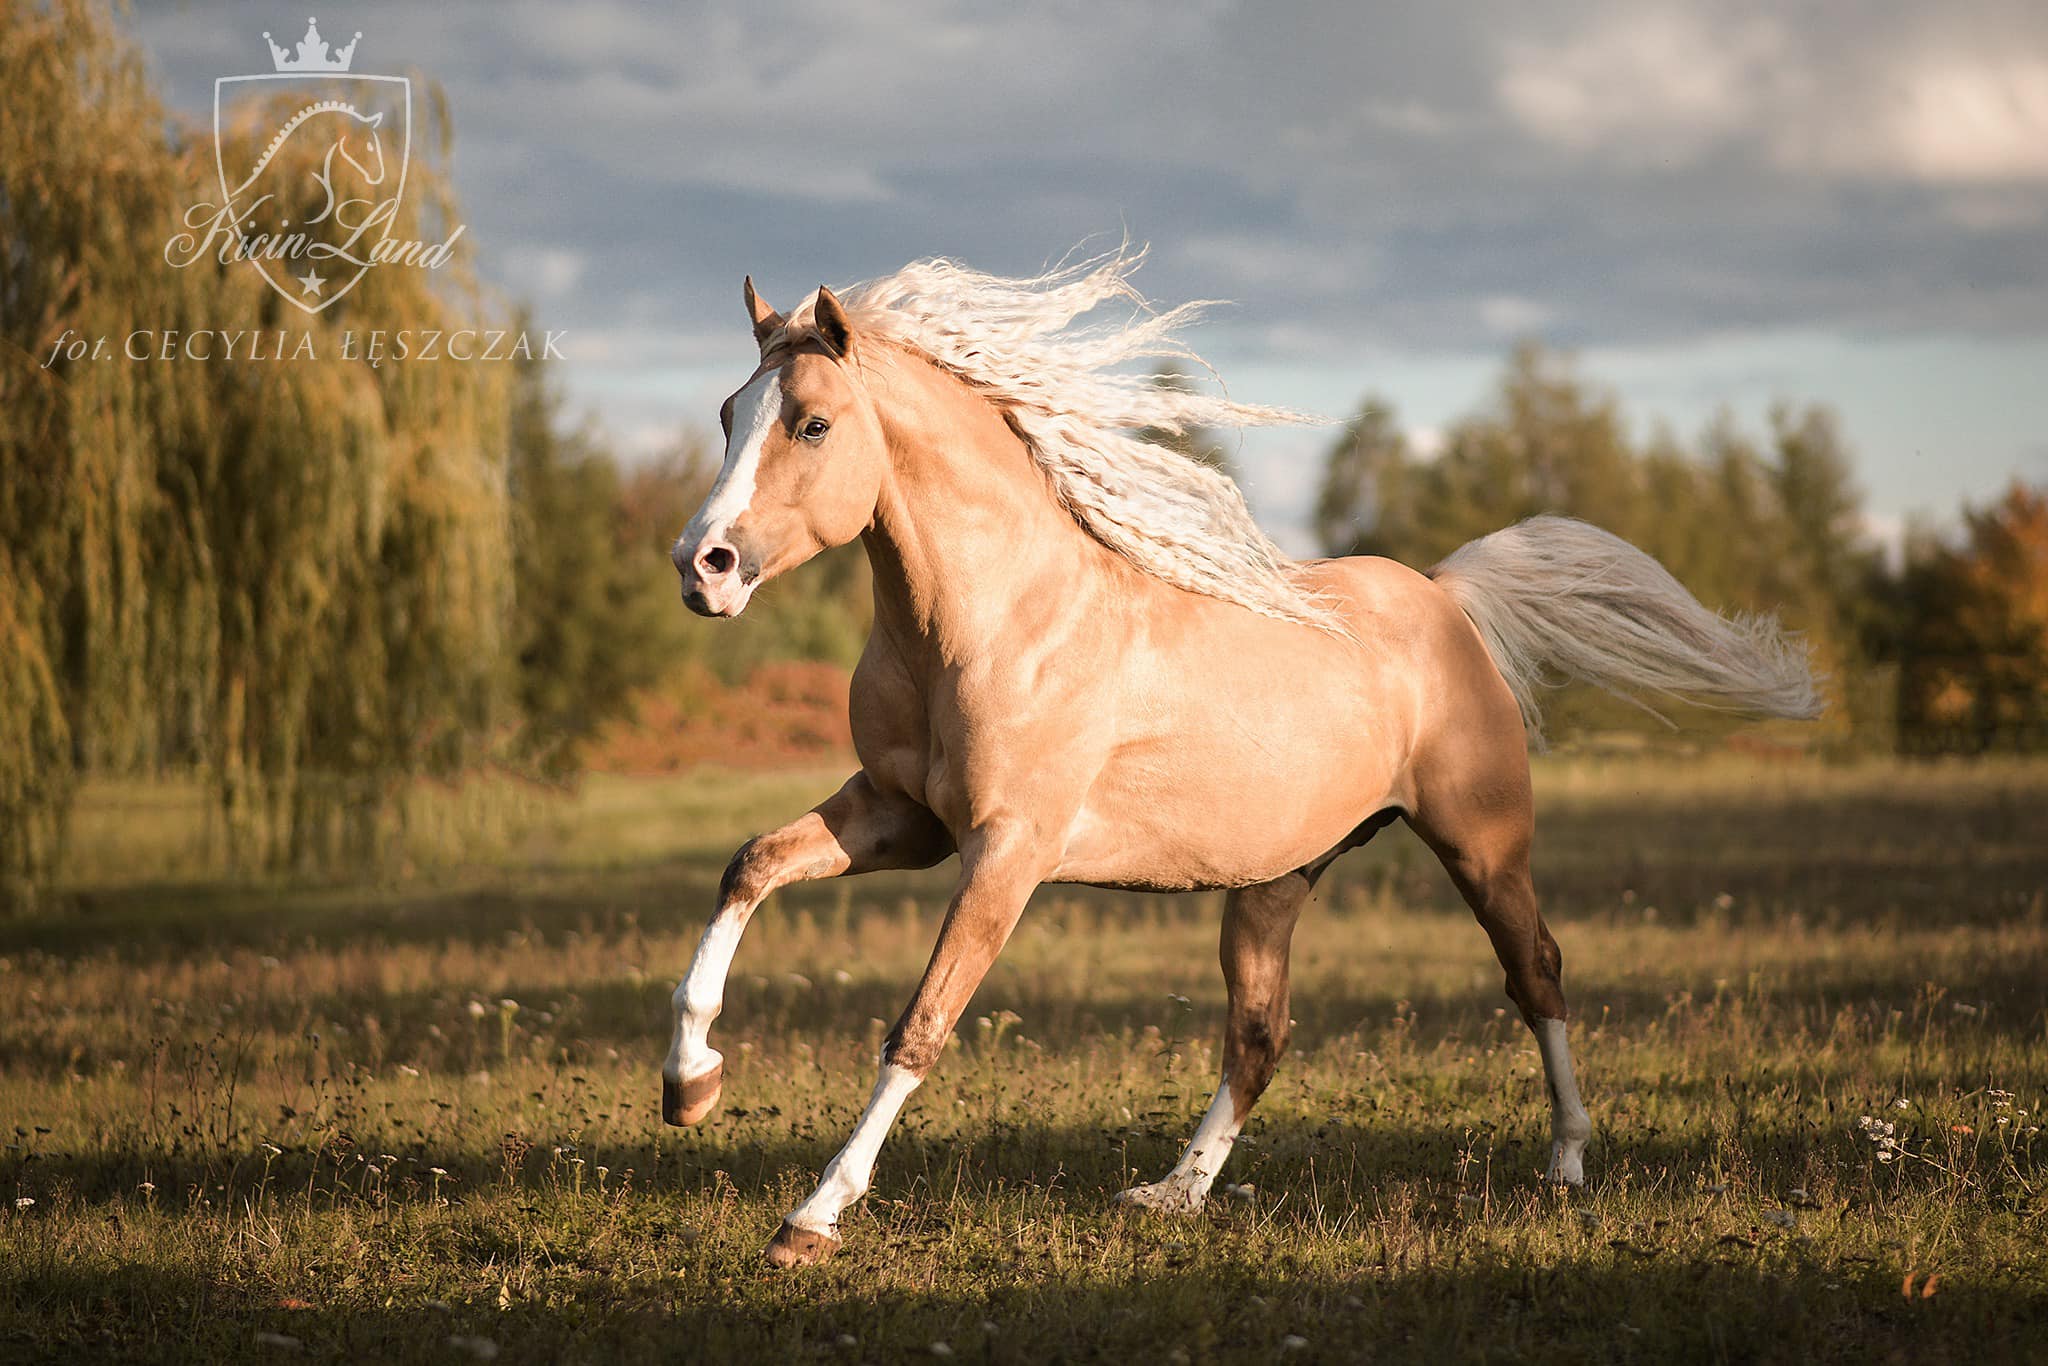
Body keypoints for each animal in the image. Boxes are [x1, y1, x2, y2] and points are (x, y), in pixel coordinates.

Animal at [663, 250, 1818, 1269]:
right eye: (727, 413)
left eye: (813, 421)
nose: (701, 567)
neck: (996, 621)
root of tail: (1446, 599)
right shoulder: (898, 820)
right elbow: (748, 866)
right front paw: (691, 1084)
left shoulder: (1004, 854)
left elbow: (918, 1027)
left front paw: (809, 1220)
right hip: (1274, 880)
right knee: (1259, 1035)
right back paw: (1171, 1193)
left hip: (1482, 846)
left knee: (1535, 973)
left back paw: (1567, 1163)